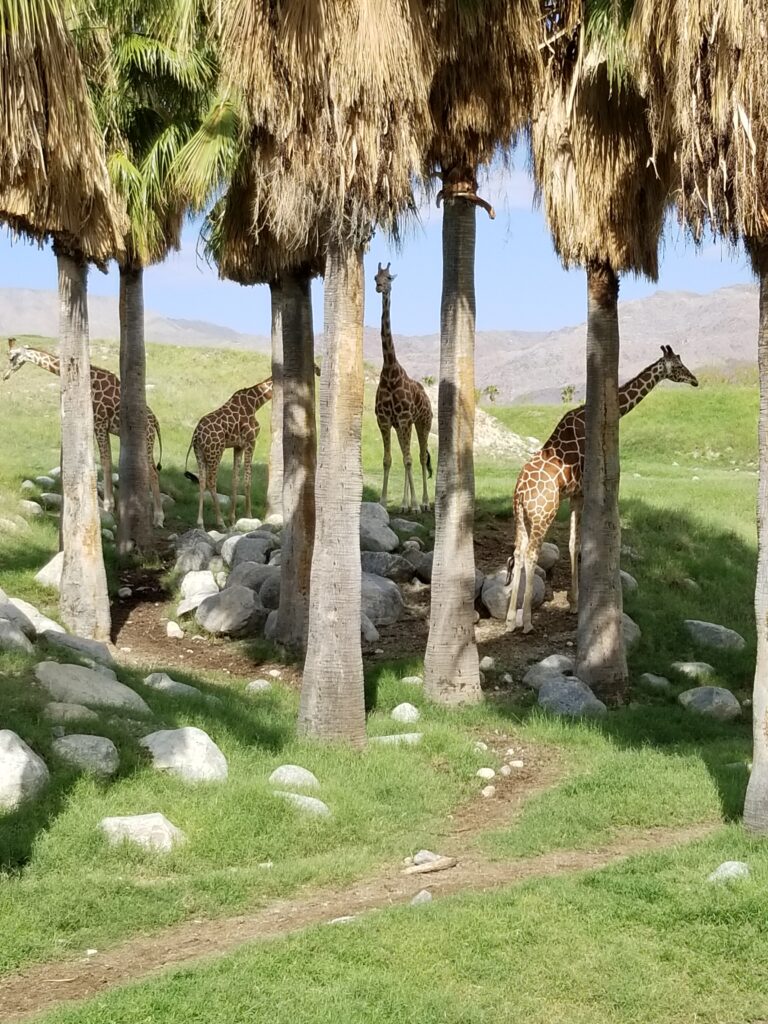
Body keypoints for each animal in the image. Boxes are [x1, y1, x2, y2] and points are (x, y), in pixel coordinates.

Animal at [4, 337, 165, 524]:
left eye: (12, 358)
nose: (5, 375)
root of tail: (156, 422)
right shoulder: (101, 425)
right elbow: (107, 460)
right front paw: (110, 506)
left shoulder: (99, 423)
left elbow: (105, 461)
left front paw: (108, 506)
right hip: (147, 441)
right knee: (152, 469)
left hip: (147, 438)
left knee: (153, 472)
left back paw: (158, 517)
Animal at [507, 344, 700, 630]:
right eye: (677, 366)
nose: (695, 380)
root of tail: (520, 493)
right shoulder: (584, 490)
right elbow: (579, 542)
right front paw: (577, 603)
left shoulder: (574, 494)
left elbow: (573, 543)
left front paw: (574, 602)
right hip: (543, 513)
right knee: (531, 554)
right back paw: (527, 622)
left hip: (521, 515)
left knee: (519, 552)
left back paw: (510, 620)